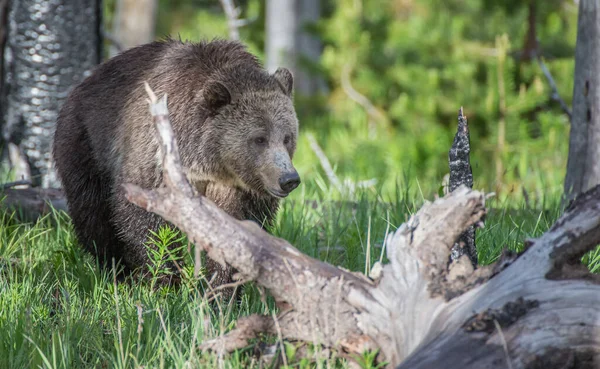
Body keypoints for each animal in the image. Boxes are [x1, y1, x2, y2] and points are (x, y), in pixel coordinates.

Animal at [52, 38, 300, 288]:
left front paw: (221, 287)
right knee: (93, 217)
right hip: (84, 145)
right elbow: (144, 217)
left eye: (287, 137)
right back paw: (118, 272)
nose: (289, 179)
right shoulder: (155, 154)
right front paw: (166, 278)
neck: (209, 162)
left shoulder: (237, 190)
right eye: (259, 139)